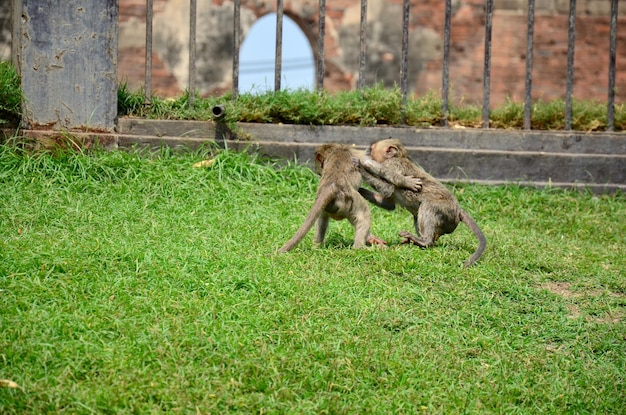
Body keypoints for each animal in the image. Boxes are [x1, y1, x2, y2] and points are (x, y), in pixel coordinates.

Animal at [276, 143, 420, 254]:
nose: (318, 171)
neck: (337, 149)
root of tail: (332, 185)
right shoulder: (360, 155)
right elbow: (385, 182)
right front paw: (408, 182)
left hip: (332, 204)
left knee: (322, 217)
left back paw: (317, 246)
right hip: (350, 200)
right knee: (364, 213)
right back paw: (360, 248)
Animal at [358, 140, 486, 268]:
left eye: (372, 149)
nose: (367, 151)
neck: (398, 157)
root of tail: (458, 210)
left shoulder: (392, 164)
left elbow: (388, 188)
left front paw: (361, 166)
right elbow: (389, 203)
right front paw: (360, 190)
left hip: (446, 209)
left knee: (427, 206)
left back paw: (425, 242)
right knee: (418, 215)